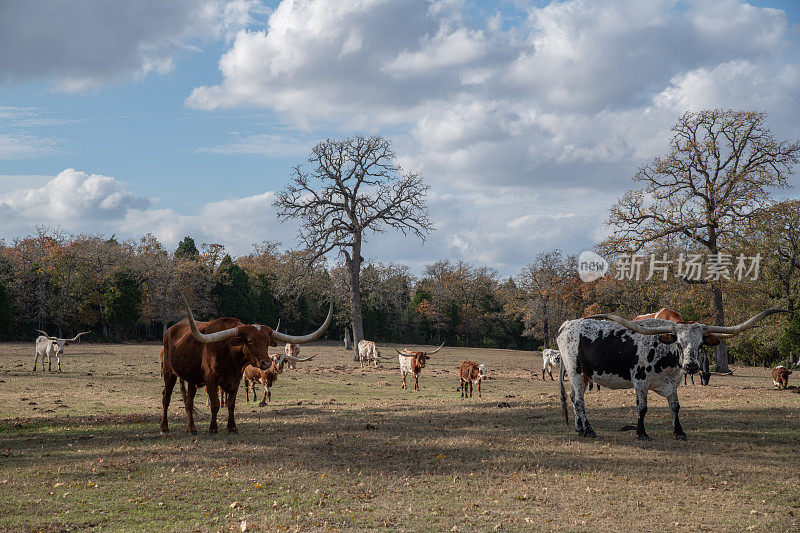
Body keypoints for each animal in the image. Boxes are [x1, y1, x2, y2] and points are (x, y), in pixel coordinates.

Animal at [162, 296, 332, 432]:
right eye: (250, 341)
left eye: (267, 342)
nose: (266, 362)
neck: (229, 355)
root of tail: (170, 330)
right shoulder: (211, 380)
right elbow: (215, 404)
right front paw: (213, 429)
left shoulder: (236, 379)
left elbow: (231, 404)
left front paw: (232, 427)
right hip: (169, 372)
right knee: (166, 398)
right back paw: (164, 428)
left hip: (192, 378)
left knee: (188, 401)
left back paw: (192, 429)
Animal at [552, 310, 784, 438]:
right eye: (679, 343)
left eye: (701, 345)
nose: (691, 366)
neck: (665, 353)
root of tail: (567, 325)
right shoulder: (640, 382)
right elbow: (642, 408)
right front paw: (641, 432)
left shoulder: (672, 383)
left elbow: (675, 407)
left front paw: (679, 432)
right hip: (574, 370)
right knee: (579, 400)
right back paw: (589, 431)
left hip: (583, 374)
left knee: (573, 398)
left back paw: (579, 429)